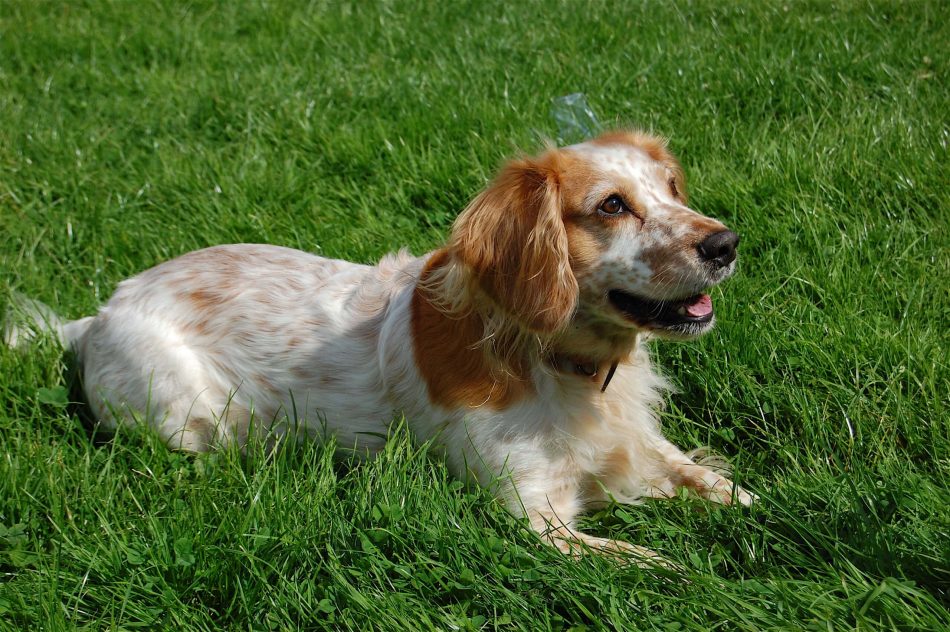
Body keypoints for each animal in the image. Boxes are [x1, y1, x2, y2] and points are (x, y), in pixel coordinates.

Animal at [9, 128, 752, 556]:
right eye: (612, 206)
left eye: (672, 188)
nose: (726, 243)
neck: (557, 363)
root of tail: (97, 314)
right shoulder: (534, 517)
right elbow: (653, 566)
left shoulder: (639, 446)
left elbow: (721, 486)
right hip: (183, 414)